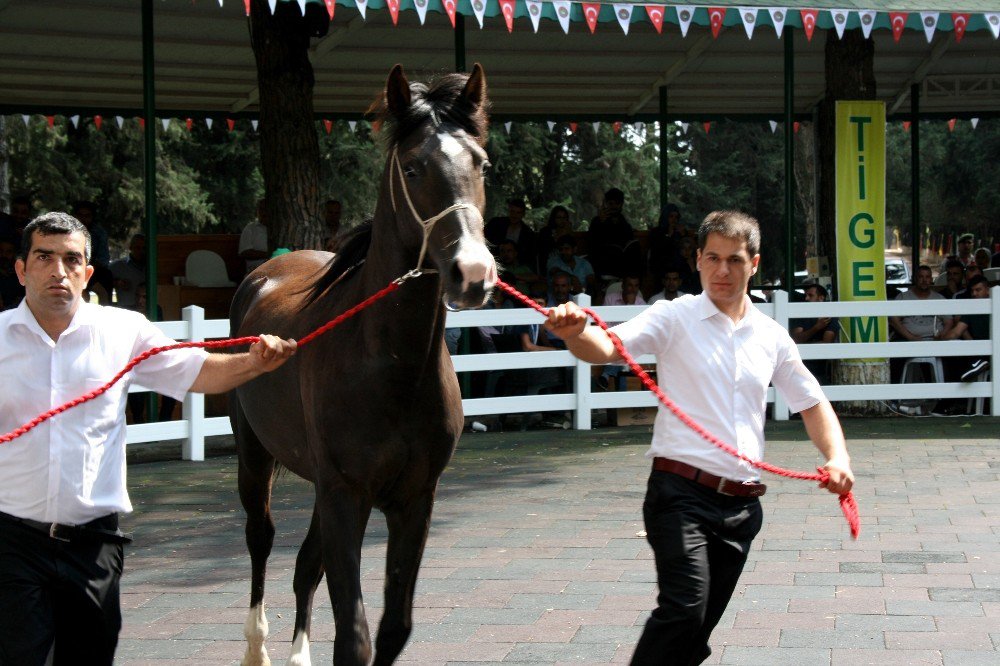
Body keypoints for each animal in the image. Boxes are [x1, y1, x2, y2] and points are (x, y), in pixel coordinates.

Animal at [232, 63, 498, 664]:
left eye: (481, 163)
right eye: (413, 166)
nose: (473, 274)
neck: (390, 365)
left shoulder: (412, 501)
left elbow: (393, 628)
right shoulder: (345, 496)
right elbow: (354, 636)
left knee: (305, 566)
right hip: (254, 455)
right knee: (261, 541)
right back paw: (256, 648)